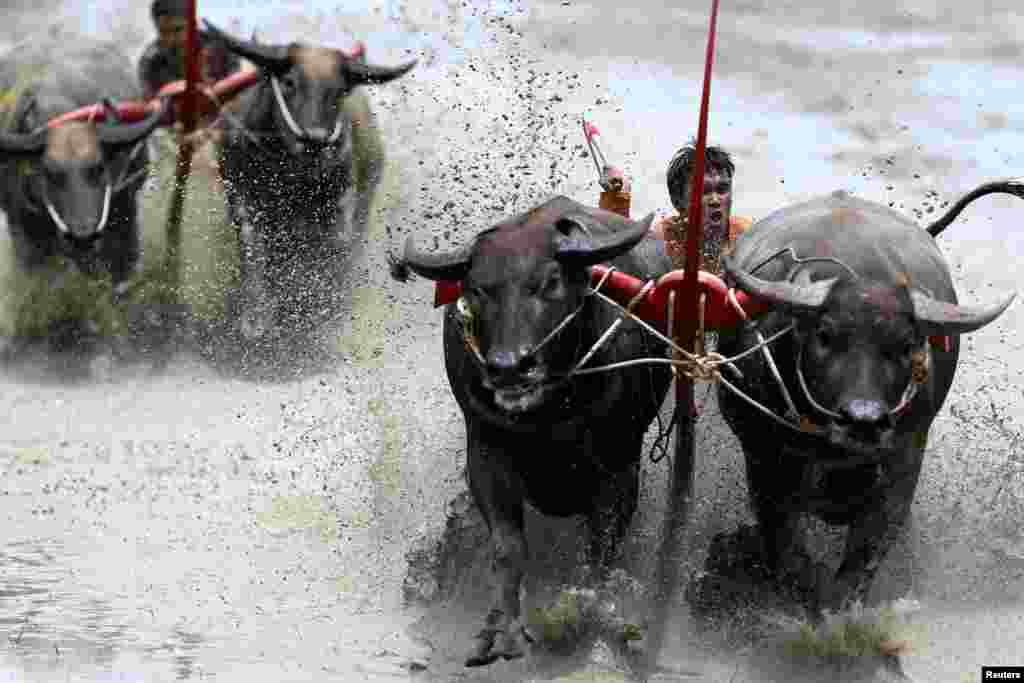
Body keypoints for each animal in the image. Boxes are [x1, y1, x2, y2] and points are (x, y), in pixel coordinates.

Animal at [0, 42, 163, 296]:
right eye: (49, 174)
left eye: (99, 168)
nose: (83, 236)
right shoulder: (24, 228)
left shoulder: (124, 211)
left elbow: (121, 265)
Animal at [201, 21, 417, 342]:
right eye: (289, 82)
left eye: (339, 91)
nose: (314, 140)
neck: (286, 172)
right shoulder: (242, 200)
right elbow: (254, 253)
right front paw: (255, 319)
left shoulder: (337, 206)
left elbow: (327, 255)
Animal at [391, 194, 671, 663]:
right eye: (477, 288)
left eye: (549, 281)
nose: (508, 367)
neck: (549, 414)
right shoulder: (485, 453)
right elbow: (508, 547)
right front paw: (502, 630)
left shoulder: (620, 467)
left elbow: (600, 550)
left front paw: (584, 616)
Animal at [720, 185, 1015, 614]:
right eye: (825, 335)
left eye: (907, 345)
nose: (864, 420)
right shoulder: (765, 461)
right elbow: (787, 552)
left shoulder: (902, 465)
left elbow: (862, 562)